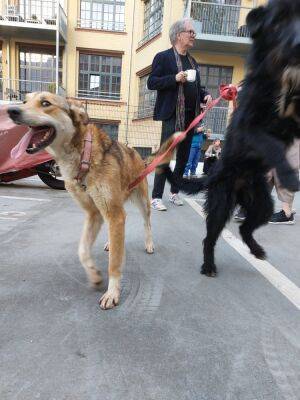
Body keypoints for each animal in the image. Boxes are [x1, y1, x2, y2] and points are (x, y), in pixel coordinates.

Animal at [8, 93, 157, 310]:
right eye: (25, 101)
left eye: (45, 103)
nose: (11, 111)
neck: (83, 157)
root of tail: (138, 154)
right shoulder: (94, 213)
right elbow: (82, 250)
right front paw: (94, 275)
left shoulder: (112, 212)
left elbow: (114, 262)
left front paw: (112, 293)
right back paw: (111, 243)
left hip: (142, 202)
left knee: (147, 223)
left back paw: (149, 244)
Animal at [166, 0, 300, 276]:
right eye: (278, 21)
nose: (298, 44)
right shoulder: (250, 128)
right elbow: (271, 144)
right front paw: (291, 176)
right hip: (221, 205)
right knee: (210, 238)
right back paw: (209, 265)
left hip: (262, 204)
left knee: (245, 227)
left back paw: (256, 250)